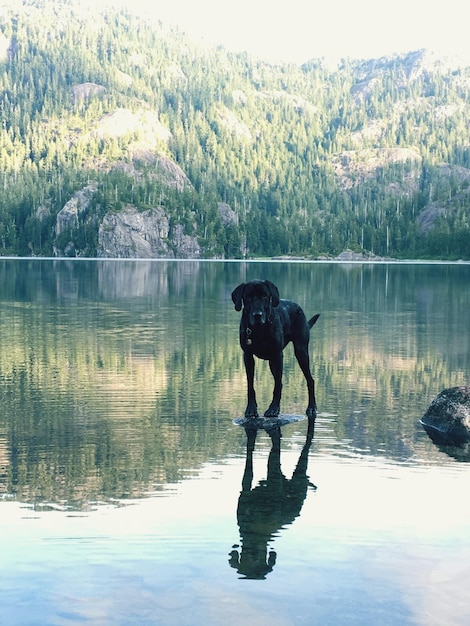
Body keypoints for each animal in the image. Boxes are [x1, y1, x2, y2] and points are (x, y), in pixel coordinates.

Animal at [231, 280, 320, 416]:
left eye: (264, 296)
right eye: (248, 297)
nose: (257, 315)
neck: (259, 329)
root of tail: (298, 307)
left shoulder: (278, 355)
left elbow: (277, 385)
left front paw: (273, 408)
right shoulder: (248, 356)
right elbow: (250, 384)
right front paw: (251, 408)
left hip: (301, 352)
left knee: (310, 380)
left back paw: (311, 407)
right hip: (272, 362)